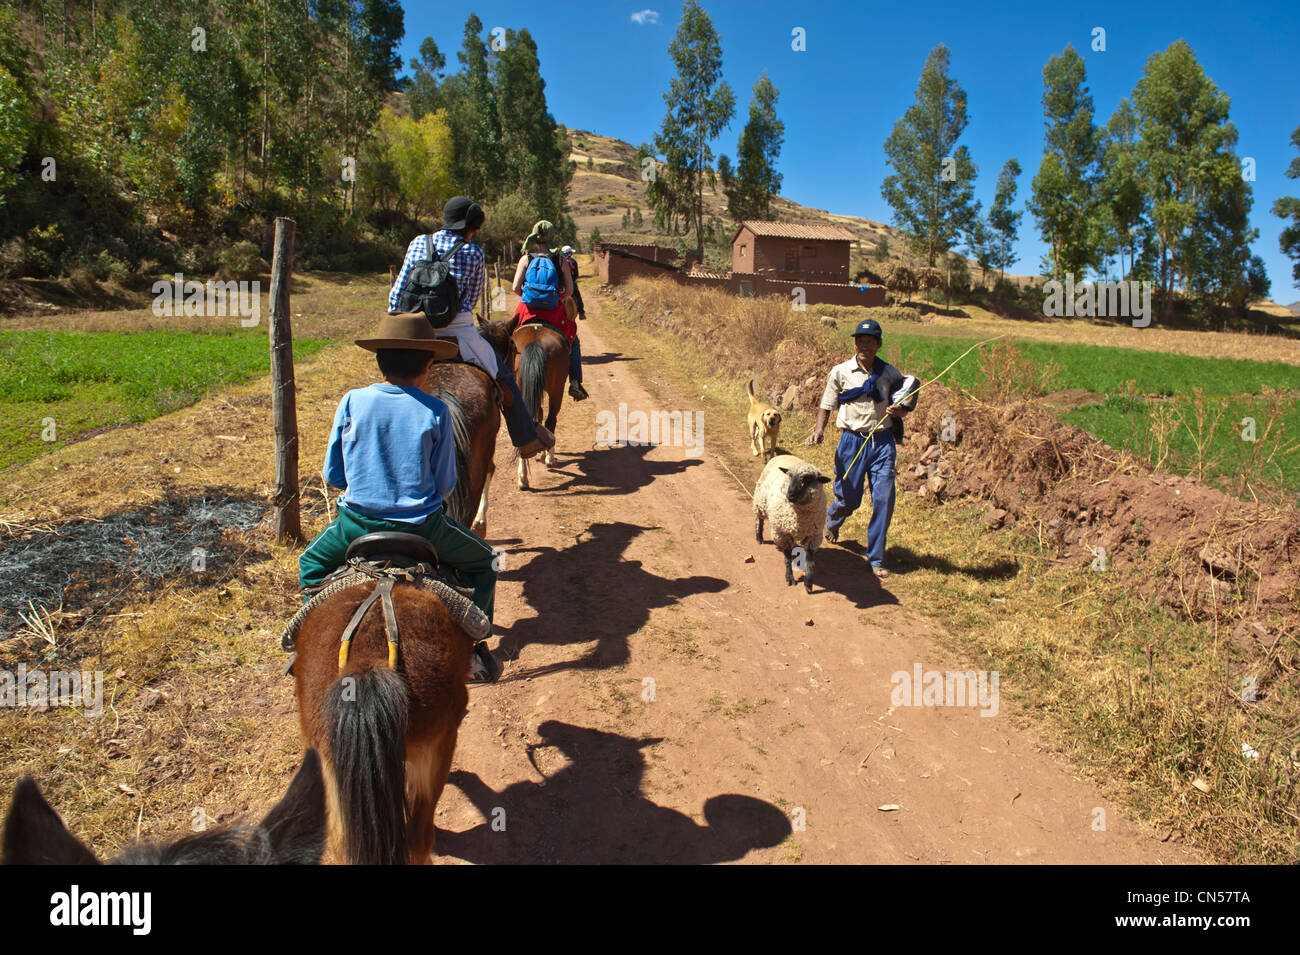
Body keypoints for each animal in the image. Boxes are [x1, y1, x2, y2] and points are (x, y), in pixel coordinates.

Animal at [759, 454, 826, 589]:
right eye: (789, 476)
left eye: (807, 479)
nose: (790, 494)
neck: (800, 519)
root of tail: (784, 455)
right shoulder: (782, 533)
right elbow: (787, 557)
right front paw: (789, 577)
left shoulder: (814, 536)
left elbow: (809, 559)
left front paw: (808, 582)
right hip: (760, 499)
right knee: (759, 518)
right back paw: (759, 536)